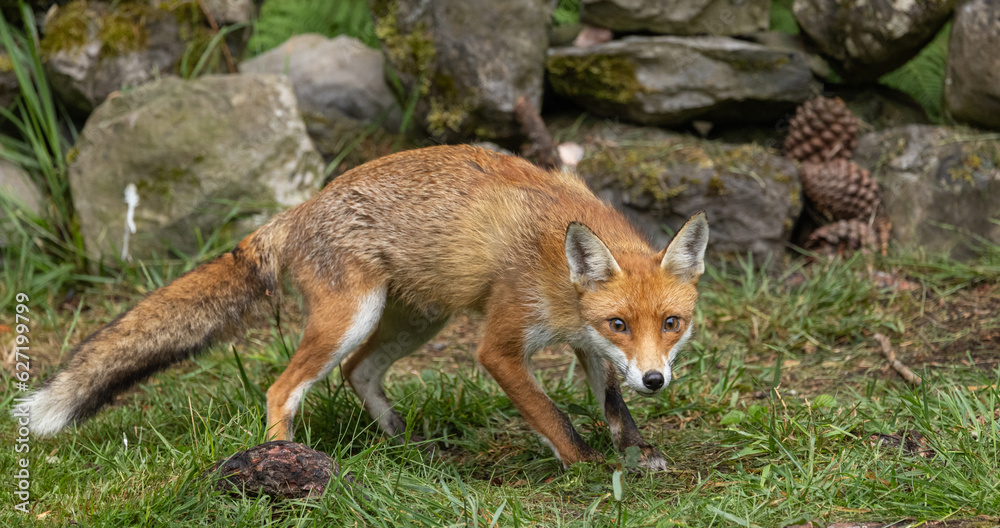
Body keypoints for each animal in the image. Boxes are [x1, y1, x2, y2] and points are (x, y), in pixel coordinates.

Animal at [27, 145, 708, 470]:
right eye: (620, 322)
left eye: (671, 324)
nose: (656, 380)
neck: (562, 279)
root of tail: (299, 209)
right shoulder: (502, 346)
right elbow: (554, 418)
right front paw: (588, 468)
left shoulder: (587, 345)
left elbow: (612, 404)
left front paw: (637, 452)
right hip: (350, 319)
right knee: (281, 388)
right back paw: (287, 463)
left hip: (417, 319)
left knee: (360, 374)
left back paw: (402, 444)